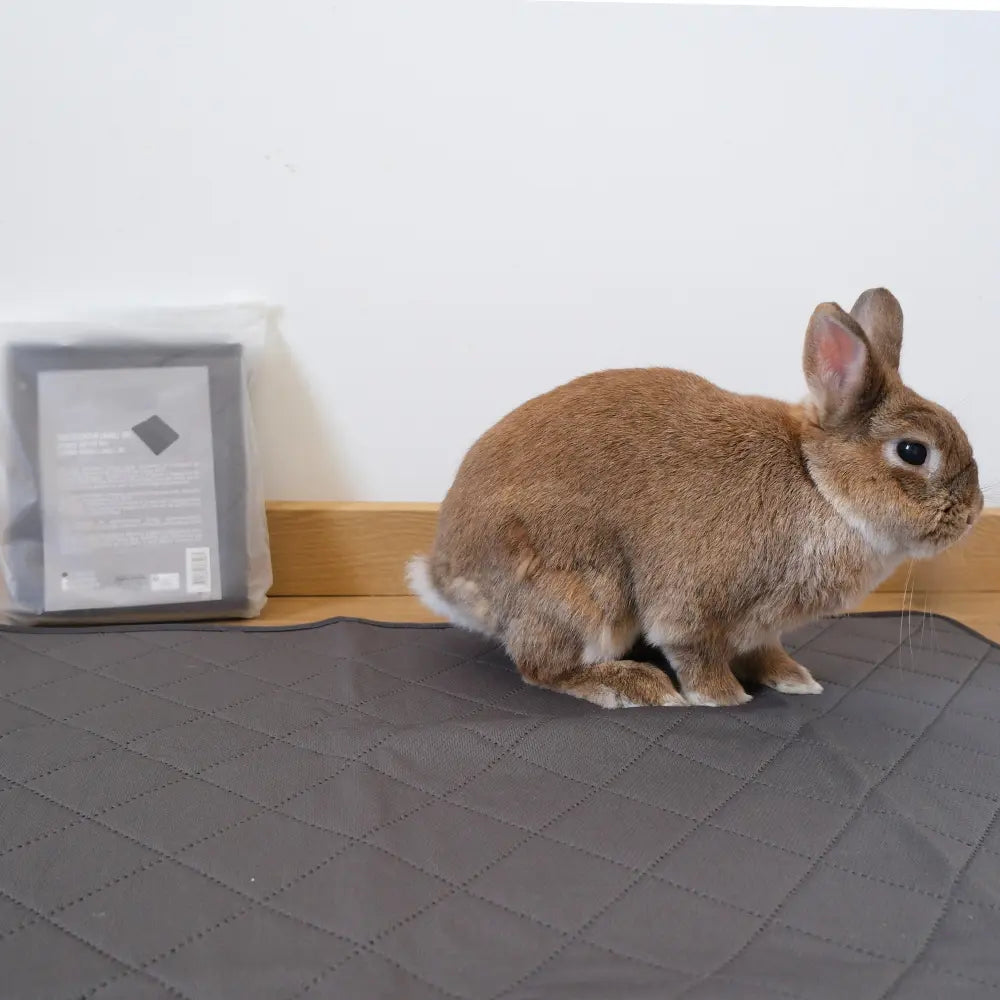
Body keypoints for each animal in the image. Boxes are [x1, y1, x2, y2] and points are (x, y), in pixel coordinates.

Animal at [408, 289, 982, 708]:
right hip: (584, 594)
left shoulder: (761, 627)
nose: (974, 514)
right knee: (543, 666)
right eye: (913, 451)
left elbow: (765, 652)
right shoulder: (693, 607)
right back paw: (635, 687)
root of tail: (445, 575)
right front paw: (724, 698)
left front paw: (793, 678)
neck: (817, 482)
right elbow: (695, 652)